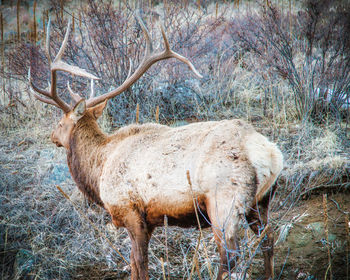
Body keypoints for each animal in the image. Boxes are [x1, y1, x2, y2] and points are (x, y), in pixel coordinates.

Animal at [28, 14, 284, 280]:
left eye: (60, 122)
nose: (52, 136)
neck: (99, 169)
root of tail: (270, 154)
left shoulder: (130, 211)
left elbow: (139, 263)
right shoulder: (148, 220)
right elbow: (135, 263)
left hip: (225, 202)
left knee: (230, 259)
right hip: (260, 201)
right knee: (269, 239)